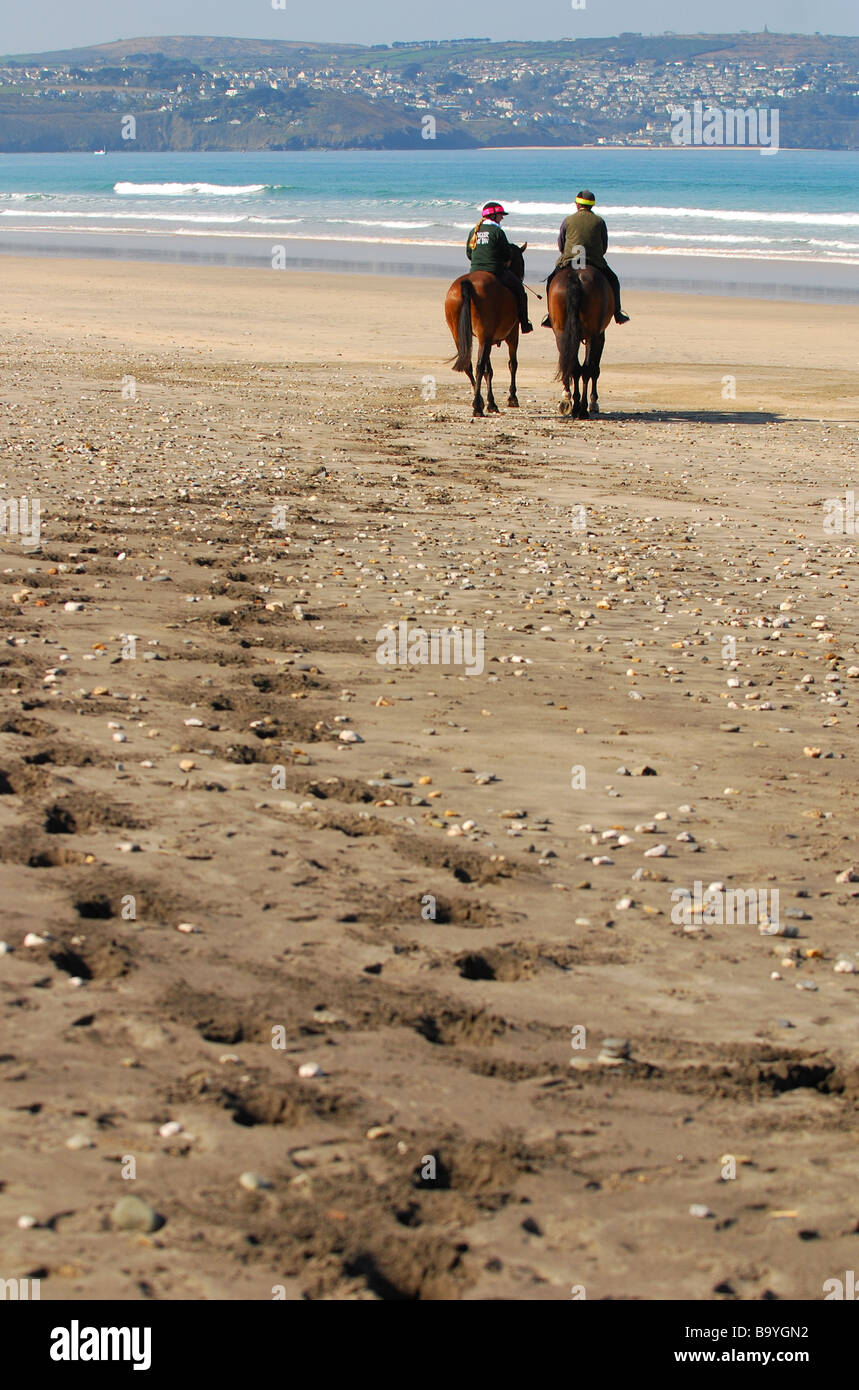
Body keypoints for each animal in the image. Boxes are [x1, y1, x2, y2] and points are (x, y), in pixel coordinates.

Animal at [444, 241, 525, 414]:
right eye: (521, 262)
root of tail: (467, 284)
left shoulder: (489, 339)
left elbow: (490, 371)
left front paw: (491, 402)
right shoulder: (513, 335)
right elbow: (512, 364)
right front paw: (512, 397)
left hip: (460, 334)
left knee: (469, 366)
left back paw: (479, 401)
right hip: (485, 336)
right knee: (479, 366)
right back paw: (477, 406)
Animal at [544, 262, 611, 417]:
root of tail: (576, 277)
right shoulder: (600, 336)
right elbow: (595, 369)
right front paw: (593, 402)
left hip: (561, 332)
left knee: (572, 365)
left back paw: (571, 404)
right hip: (593, 335)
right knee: (587, 369)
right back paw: (583, 408)